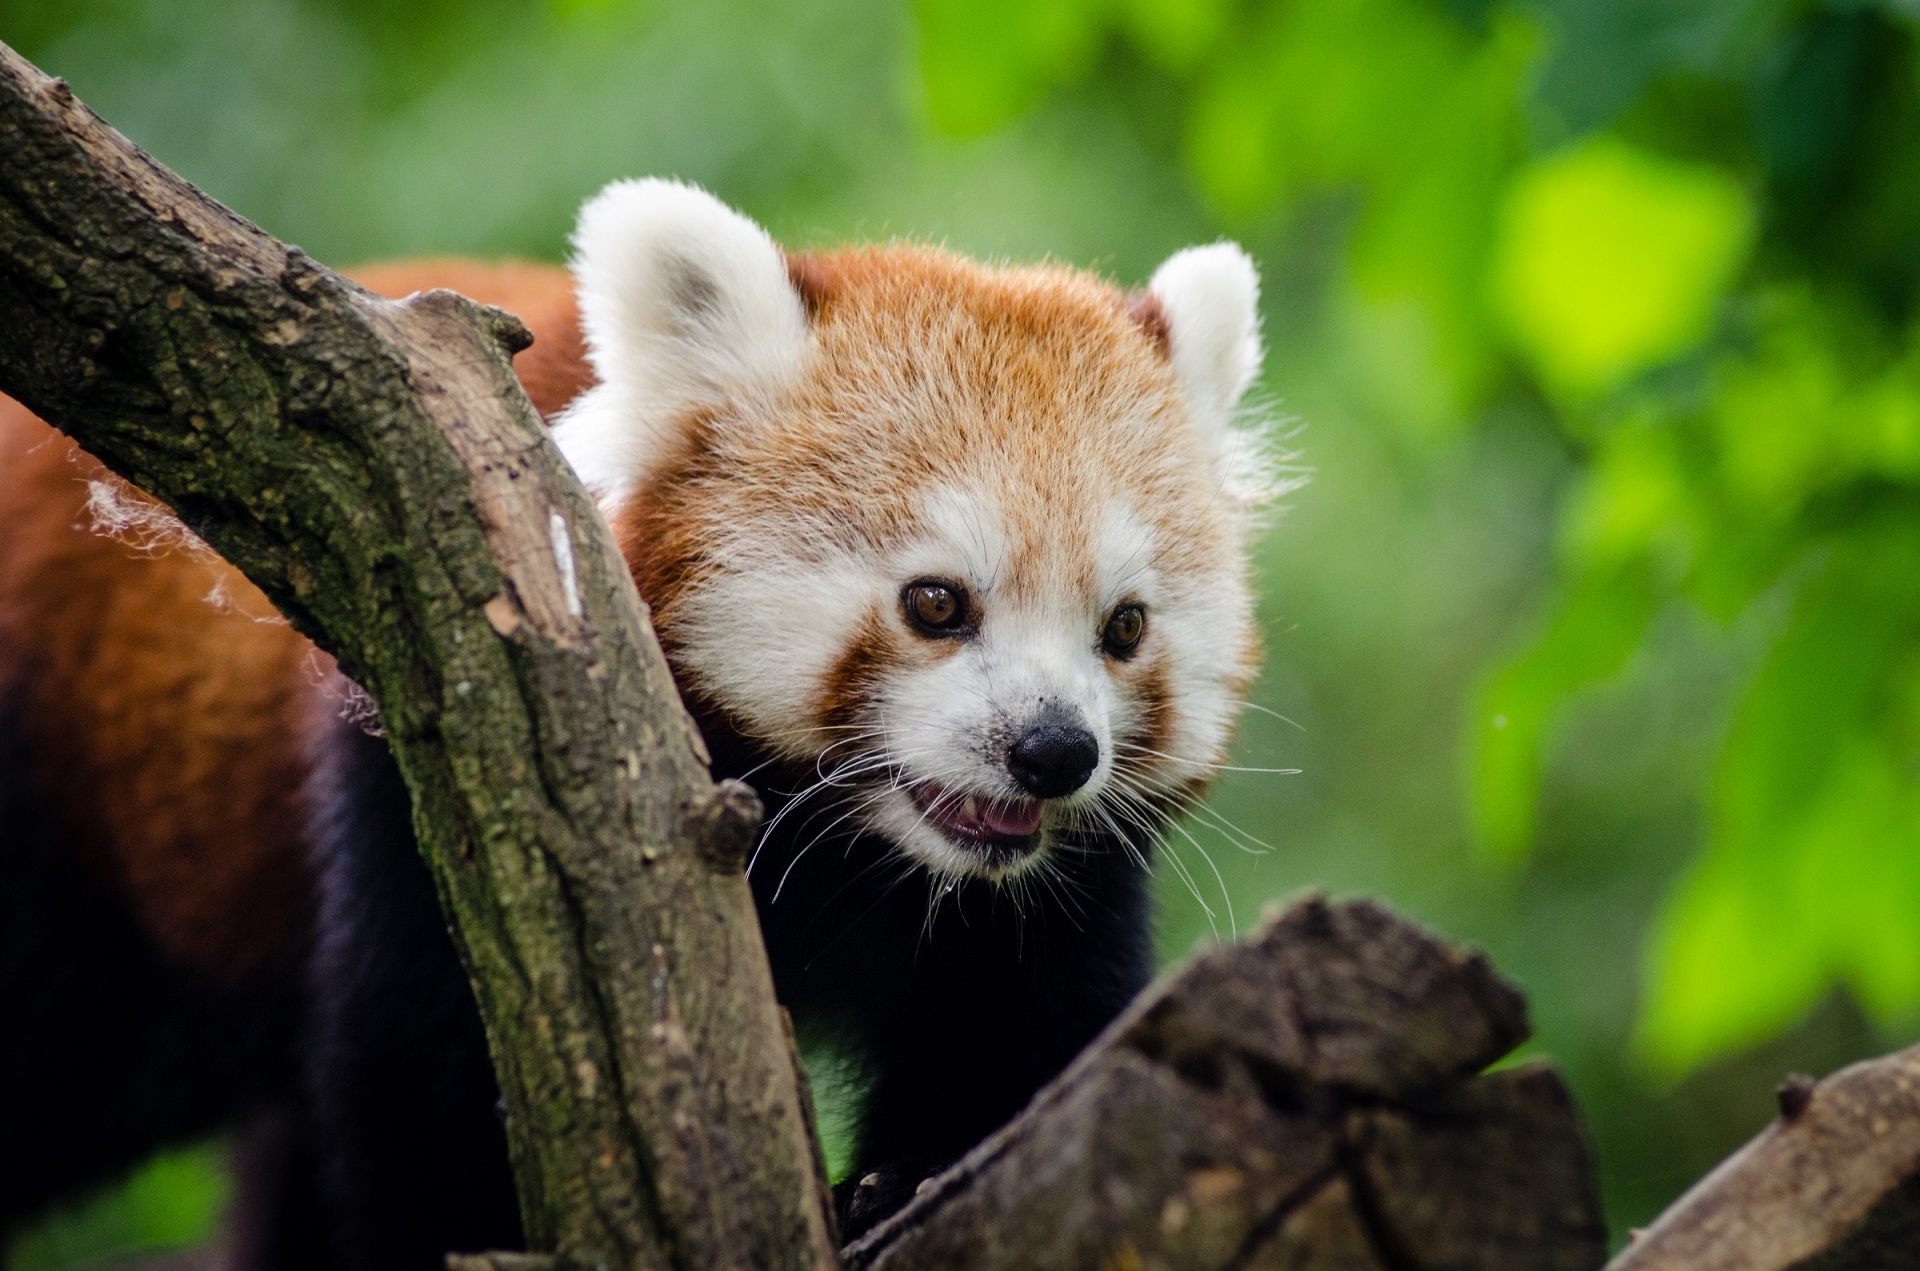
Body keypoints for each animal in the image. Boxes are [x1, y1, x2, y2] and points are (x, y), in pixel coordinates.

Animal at [0, 176, 1274, 1267]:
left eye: (1123, 626)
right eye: (936, 602)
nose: (1054, 751)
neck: (853, 855)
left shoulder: (1043, 899)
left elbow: (1028, 1039)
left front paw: (901, 1181)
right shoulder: (424, 783)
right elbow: (423, 1105)